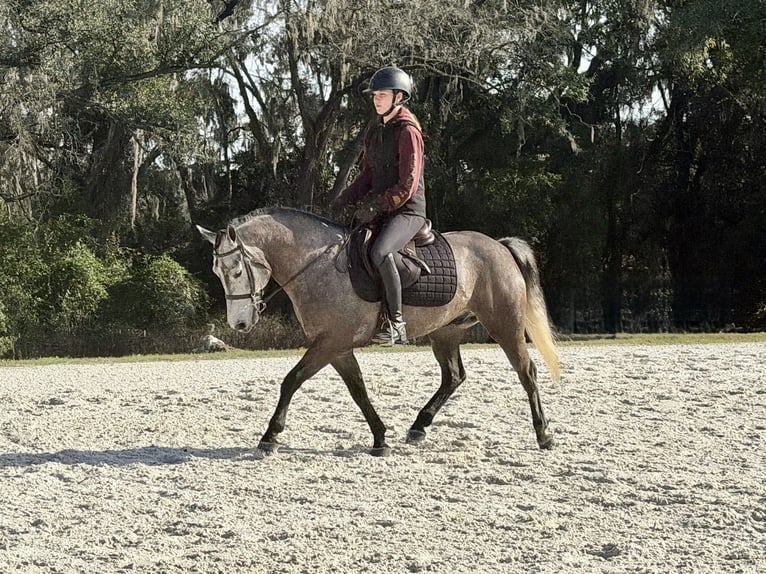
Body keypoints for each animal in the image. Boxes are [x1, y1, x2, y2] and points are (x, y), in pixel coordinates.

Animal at [197, 207, 560, 456]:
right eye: (217, 271)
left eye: (237, 270)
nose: (239, 324)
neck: (317, 266)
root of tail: (499, 246)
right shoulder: (338, 347)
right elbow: (358, 391)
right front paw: (380, 438)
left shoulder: (329, 343)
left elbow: (292, 381)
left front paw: (269, 437)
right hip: (445, 333)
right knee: (454, 376)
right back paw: (418, 428)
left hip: (505, 325)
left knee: (526, 372)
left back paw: (543, 435)